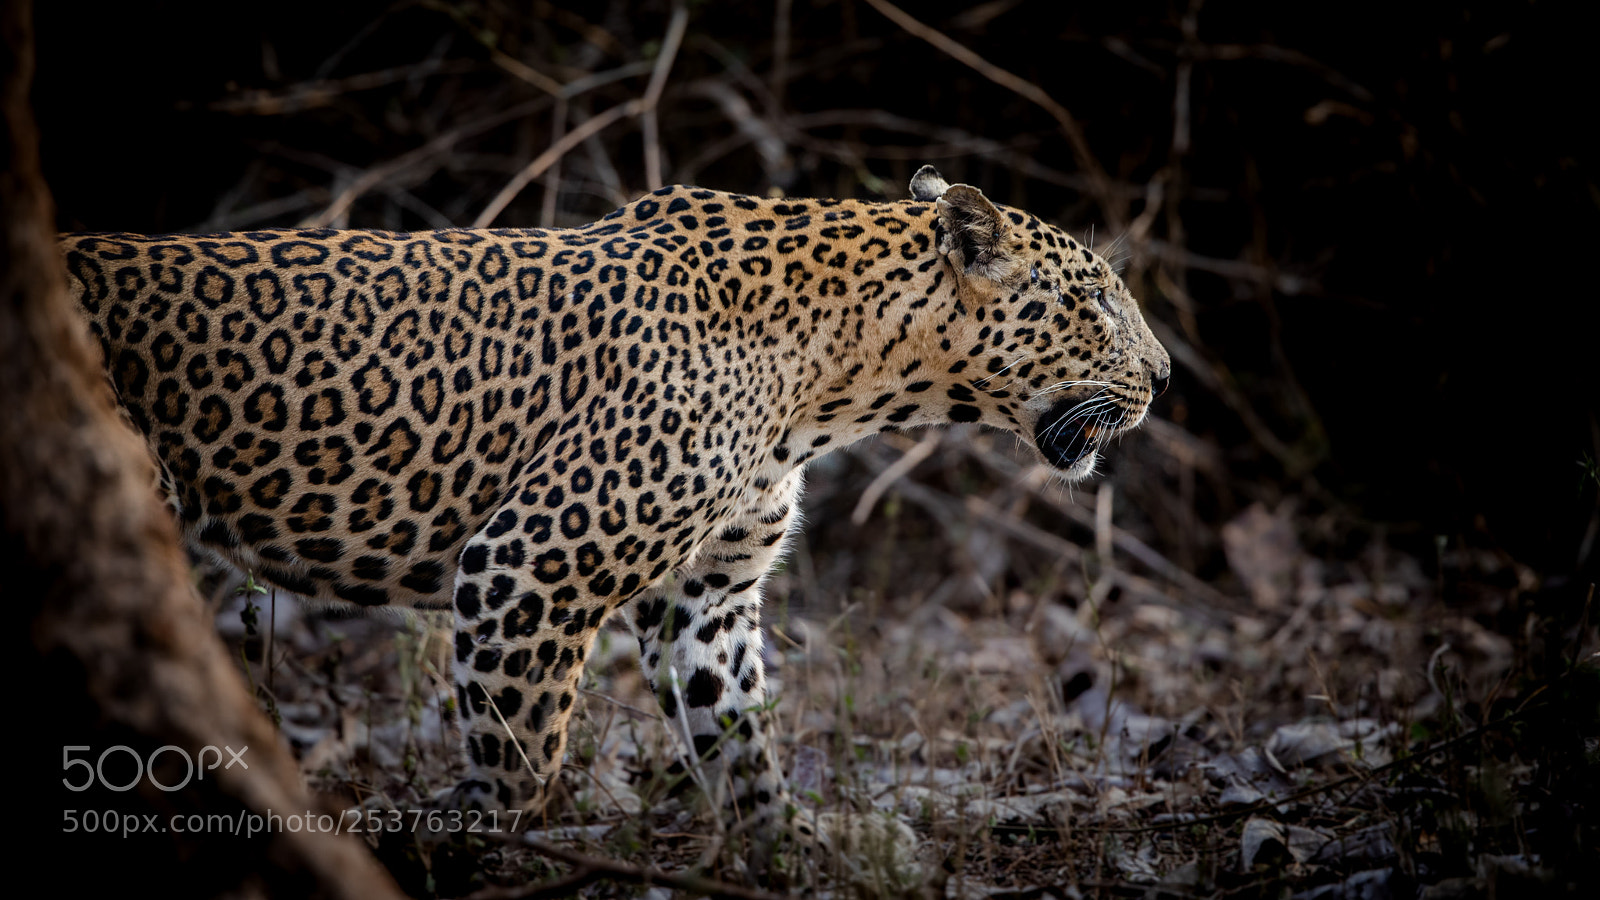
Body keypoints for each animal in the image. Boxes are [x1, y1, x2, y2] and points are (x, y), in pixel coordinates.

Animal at [62, 165, 1169, 865]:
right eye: (1097, 305)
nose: (1163, 374)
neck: (839, 380)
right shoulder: (526, 568)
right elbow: (519, 762)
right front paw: (449, 846)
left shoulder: (707, 597)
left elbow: (738, 733)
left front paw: (798, 848)